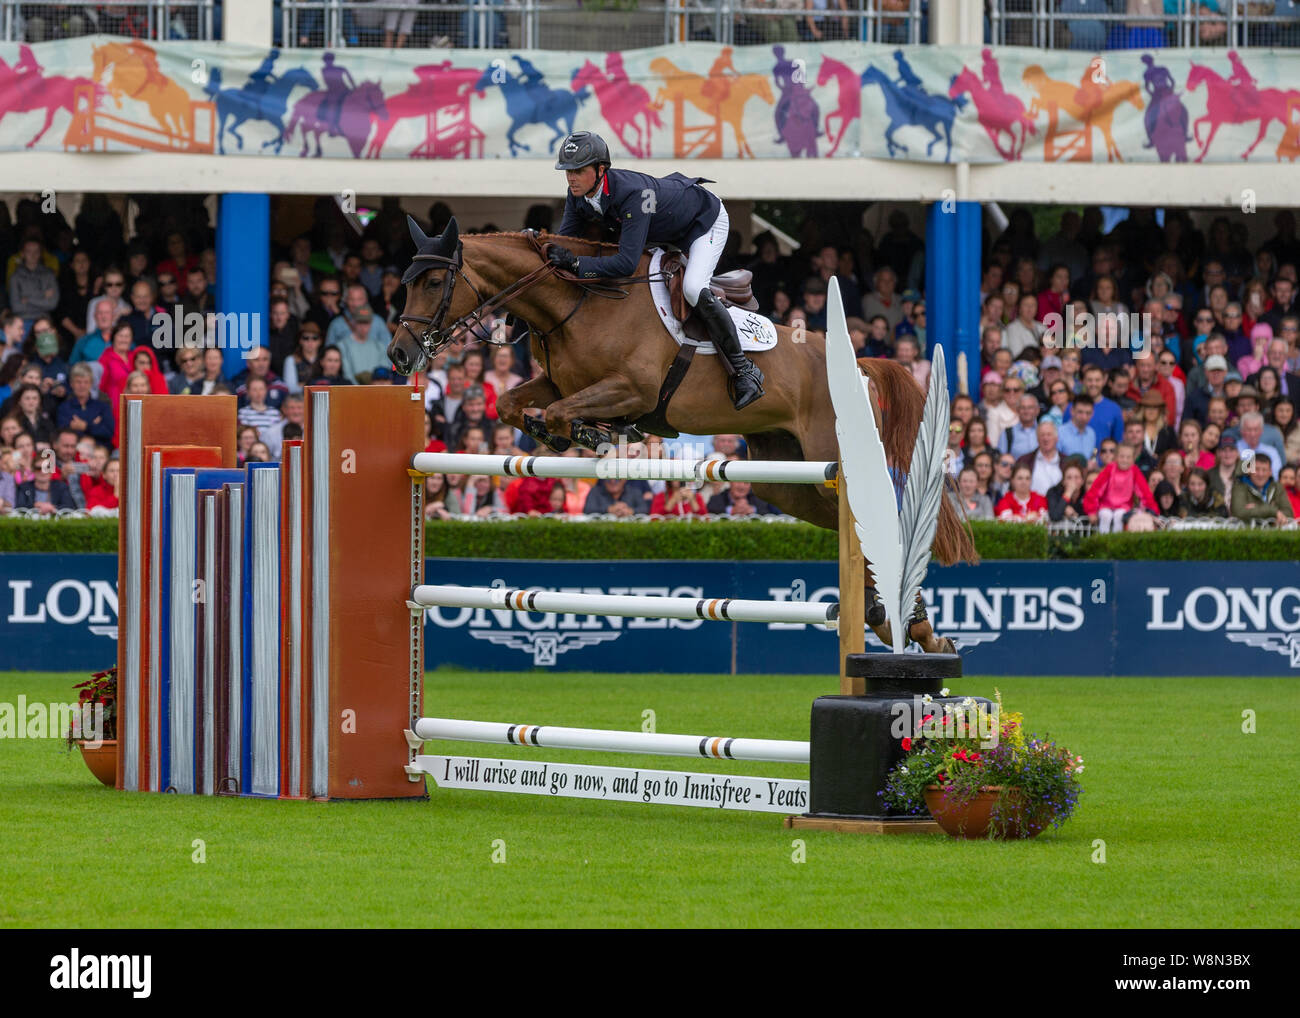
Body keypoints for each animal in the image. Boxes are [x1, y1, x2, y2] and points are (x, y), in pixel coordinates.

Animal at [384, 218, 977, 657]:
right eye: (406, 281)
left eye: (433, 282)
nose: (399, 355)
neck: (577, 303)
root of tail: (860, 366)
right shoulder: (560, 382)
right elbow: (515, 405)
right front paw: (574, 433)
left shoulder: (631, 388)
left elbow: (557, 413)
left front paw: (594, 433)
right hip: (783, 478)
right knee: (839, 523)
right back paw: (896, 621)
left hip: (828, 461)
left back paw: (907, 620)